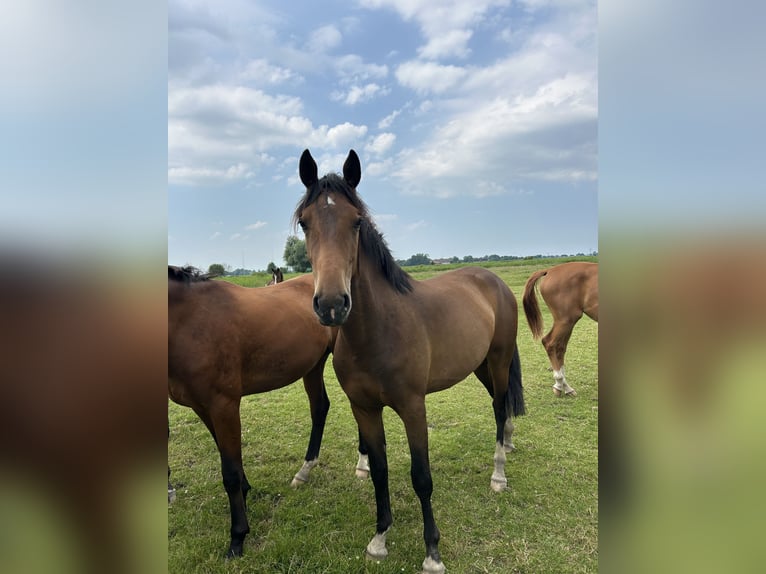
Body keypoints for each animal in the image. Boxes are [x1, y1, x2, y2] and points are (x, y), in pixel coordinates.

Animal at [168, 268, 368, 560]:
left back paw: (363, 464)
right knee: (320, 408)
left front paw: (237, 537)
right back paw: (304, 470)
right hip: (313, 365)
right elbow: (231, 460)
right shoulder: (202, 408)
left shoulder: (224, 405)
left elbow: (229, 471)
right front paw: (245, 494)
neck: (190, 321)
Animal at [296, 150, 528, 574]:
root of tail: (494, 280)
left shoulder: (412, 407)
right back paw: (507, 442)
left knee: (500, 406)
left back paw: (498, 474)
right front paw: (379, 538)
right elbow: (379, 472)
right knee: (498, 405)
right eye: (305, 223)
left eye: (357, 222)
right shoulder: (364, 409)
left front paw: (432, 552)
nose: (332, 304)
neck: (378, 331)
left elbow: (421, 477)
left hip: (500, 361)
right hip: (480, 366)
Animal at [520, 264, 600, 398]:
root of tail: (549, 271)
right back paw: (560, 382)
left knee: (560, 347)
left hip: (567, 322)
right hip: (565, 320)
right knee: (550, 343)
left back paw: (565, 387)